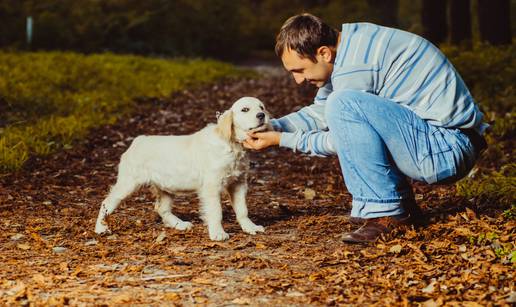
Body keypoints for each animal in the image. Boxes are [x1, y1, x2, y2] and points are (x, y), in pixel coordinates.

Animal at [94, 96, 270, 241]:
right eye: (245, 109)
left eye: (261, 107)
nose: (262, 115)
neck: (233, 145)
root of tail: (138, 140)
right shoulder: (211, 186)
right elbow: (216, 211)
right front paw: (218, 233)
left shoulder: (238, 183)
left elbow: (242, 209)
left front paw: (250, 227)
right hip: (128, 182)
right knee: (106, 202)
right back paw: (100, 228)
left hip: (165, 186)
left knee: (161, 208)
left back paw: (180, 224)